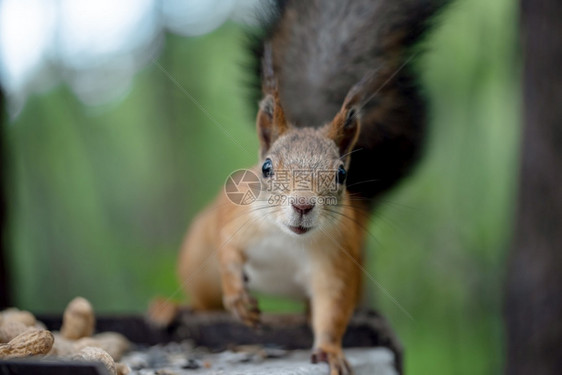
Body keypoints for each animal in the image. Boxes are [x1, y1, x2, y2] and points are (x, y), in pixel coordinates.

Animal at [174, 1, 446, 374]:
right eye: (266, 168)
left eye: (342, 174)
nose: (303, 205)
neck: (286, 240)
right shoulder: (233, 219)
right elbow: (228, 254)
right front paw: (239, 300)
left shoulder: (336, 260)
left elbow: (332, 309)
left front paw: (330, 351)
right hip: (197, 265)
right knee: (204, 301)